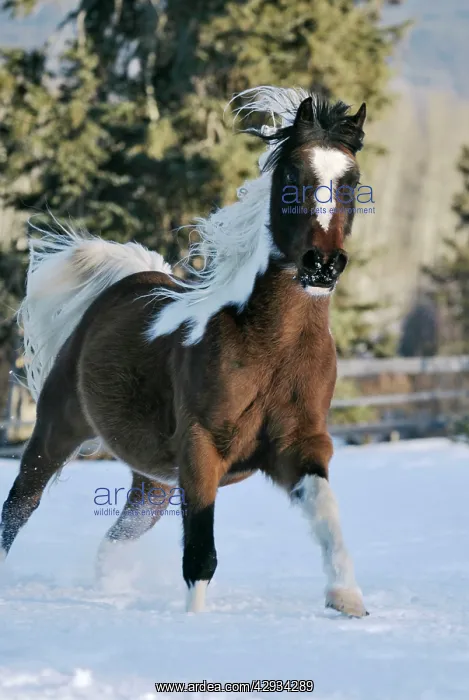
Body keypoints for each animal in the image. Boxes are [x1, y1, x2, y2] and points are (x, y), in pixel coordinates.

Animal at [0, 85, 368, 616]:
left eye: (351, 181)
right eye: (293, 176)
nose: (322, 264)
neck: (270, 348)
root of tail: (126, 283)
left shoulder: (299, 446)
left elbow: (327, 511)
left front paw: (347, 599)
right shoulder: (201, 449)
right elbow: (201, 553)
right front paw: (196, 624)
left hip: (152, 482)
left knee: (113, 540)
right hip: (56, 429)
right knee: (18, 508)